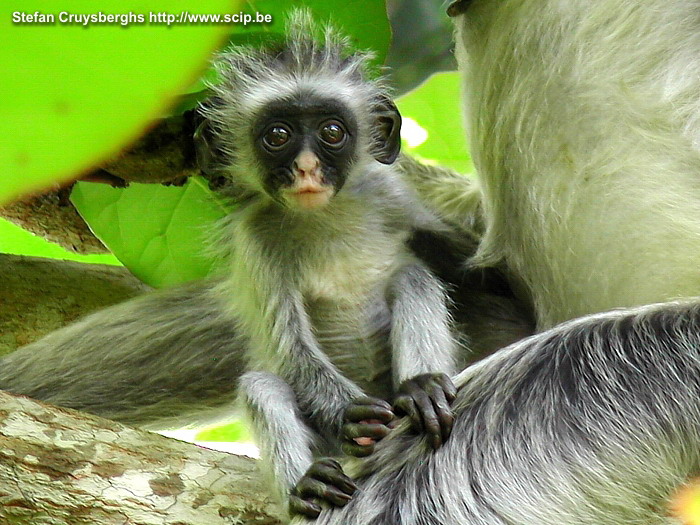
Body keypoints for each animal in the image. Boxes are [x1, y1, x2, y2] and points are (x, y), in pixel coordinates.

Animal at [197, 10, 460, 516]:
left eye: (332, 133)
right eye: (278, 136)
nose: (305, 167)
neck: (325, 219)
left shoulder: (390, 195)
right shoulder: (256, 239)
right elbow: (289, 351)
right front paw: (348, 415)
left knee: (414, 277)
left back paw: (420, 389)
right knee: (261, 385)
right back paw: (309, 483)